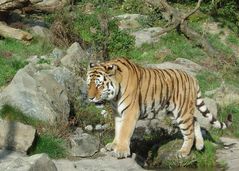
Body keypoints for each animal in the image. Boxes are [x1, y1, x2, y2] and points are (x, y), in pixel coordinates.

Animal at [86, 57, 232, 159]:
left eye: (99, 85)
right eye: (88, 84)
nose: (90, 98)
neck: (115, 96)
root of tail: (192, 78)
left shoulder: (130, 112)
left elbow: (124, 131)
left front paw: (121, 151)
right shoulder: (118, 113)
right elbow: (118, 129)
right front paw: (114, 145)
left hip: (181, 111)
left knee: (189, 132)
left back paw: (184, 152)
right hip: (175, 111)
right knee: (194, 120)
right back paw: (200, 145)